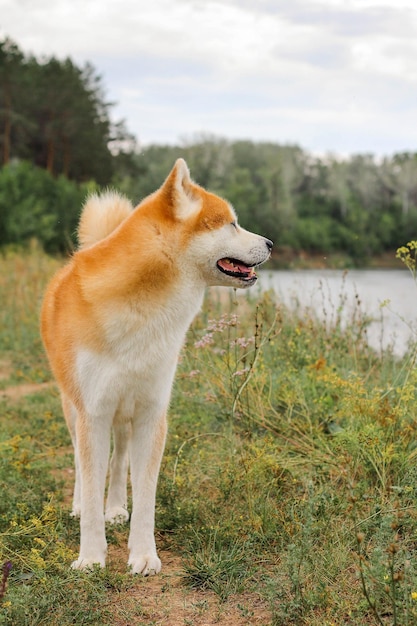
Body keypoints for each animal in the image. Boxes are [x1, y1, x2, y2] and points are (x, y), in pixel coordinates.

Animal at [40, 158, 272, 572]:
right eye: (231, 223)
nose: (271, 244)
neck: (143, 310)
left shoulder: (151, 414)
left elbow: (145, 496)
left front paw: (144, 554)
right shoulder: (93, 413)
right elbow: (91, 483)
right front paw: (91, 557)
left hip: (124, 416)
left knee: (118, 464)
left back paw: (116, 507)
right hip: (75, 409)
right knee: (83, 467)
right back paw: (81, 504)